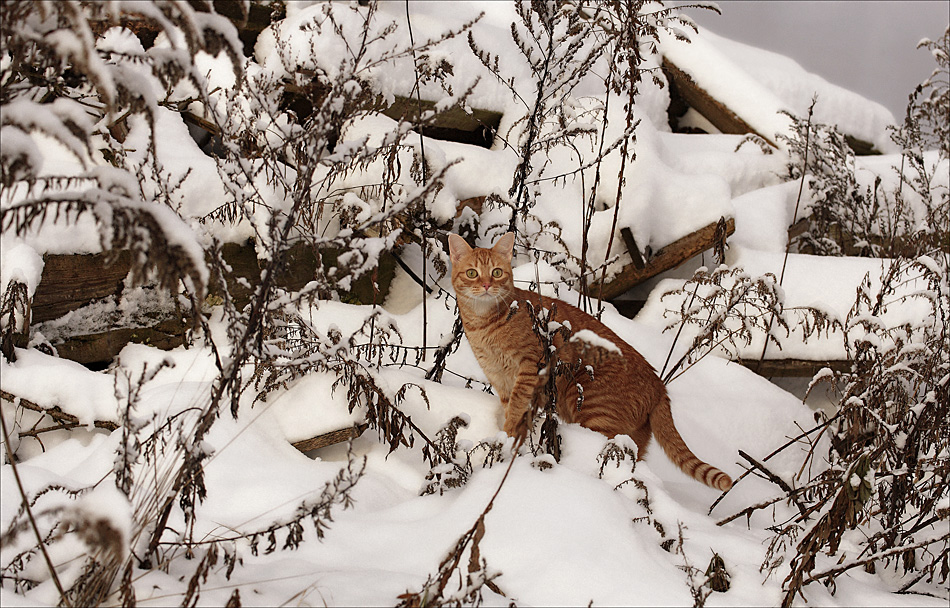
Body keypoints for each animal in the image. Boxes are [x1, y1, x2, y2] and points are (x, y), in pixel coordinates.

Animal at [448, 230, 736, 492]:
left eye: (496, 272)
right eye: (472, 273)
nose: (487, 285)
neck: (483, 324)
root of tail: (659, 385)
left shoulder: (530, 367)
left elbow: (516, 410)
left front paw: (504, 439)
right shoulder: (500, 379)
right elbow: (512, 410)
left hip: (591, 409)